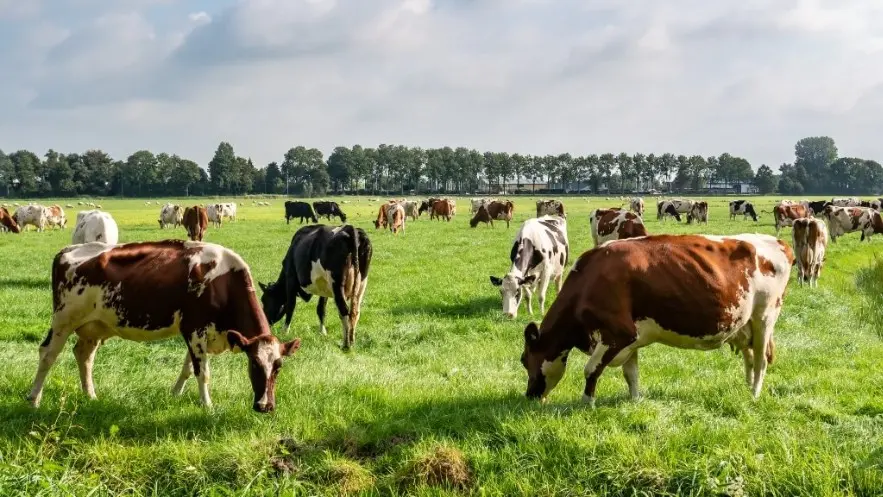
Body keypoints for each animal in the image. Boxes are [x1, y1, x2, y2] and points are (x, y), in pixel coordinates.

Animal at [25, 239, 302, 410]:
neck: (223, 283)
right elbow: (203, 372)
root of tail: (68, 249)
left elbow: (189, 368)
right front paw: (207, 405)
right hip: (63, 320)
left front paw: (175, 394)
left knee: (84, 355)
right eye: (254, 364)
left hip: (94, 326)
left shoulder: (199, 334)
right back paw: (34, 398)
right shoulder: (194, 328)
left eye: (278, 367)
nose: (265, 406)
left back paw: (90, 396)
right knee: (48, 354)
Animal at [516, 232, 796, 404]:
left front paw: (587, 402)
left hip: (765, 317)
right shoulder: (631, 339)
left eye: (524, 360)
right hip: (743, 324)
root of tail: (779, 242)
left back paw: (754, 394)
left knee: (760, 360)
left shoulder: (618, 333)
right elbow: (631, 374)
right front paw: (634, 400)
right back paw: (746, 387)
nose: (529, 396)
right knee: (749, 357)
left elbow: (591, 370)